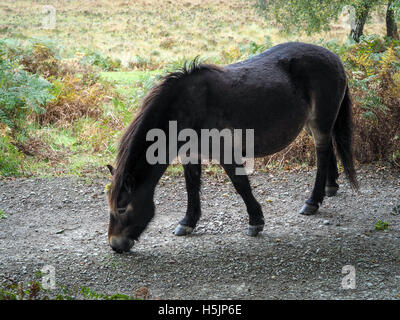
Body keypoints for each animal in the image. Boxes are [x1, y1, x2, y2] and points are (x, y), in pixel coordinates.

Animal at [104, 42, 358, 252]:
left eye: (122, 208)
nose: (115, 245)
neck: (189, 106)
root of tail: (333, 57)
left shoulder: (225, 152)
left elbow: (240, 184)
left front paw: (255, 221)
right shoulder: (190, 155)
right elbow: (191, 187)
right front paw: (188, 222)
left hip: (320, 122)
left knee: (322, 154)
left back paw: (312, 202)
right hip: (311, 124)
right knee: (328, 151)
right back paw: (330, 187)